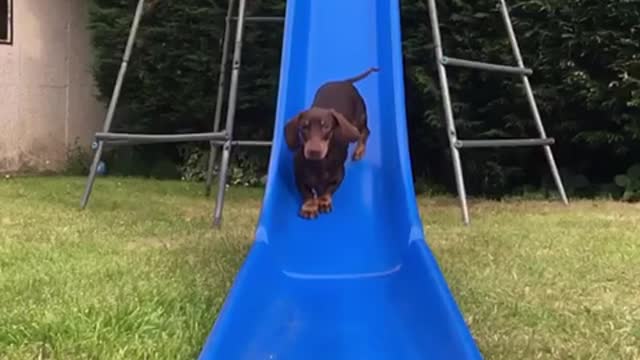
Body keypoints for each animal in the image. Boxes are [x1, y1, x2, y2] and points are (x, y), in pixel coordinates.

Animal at [282, 67, 378, 219]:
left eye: (326, 126)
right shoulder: (299, 178)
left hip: (358, 121)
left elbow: (329, 189)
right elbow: (306, 192)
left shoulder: (339, 175)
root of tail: (344, 82)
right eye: (304, 127)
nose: (314, 152)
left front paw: (324, 201)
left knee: (365, 132)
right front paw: (310, 206)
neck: (318, 164)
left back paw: (359, 151)